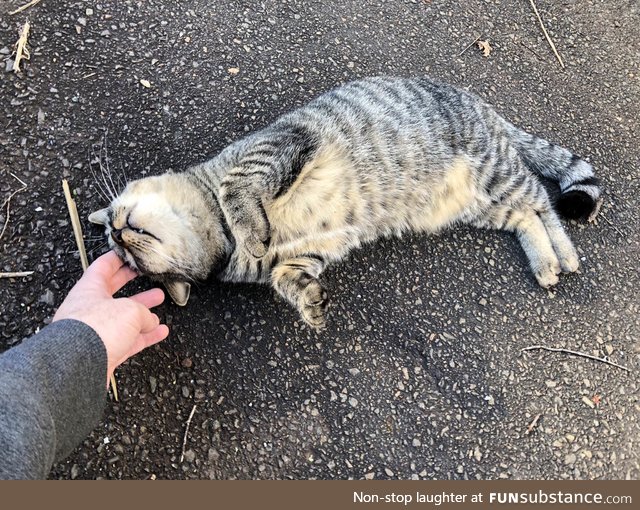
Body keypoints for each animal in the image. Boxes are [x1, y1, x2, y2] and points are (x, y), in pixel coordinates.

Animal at [89, 75, 600, 326]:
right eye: (129, 261)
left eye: (120, 232)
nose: (116, 230)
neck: (222, 243)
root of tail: (480, 103)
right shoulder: (308, 252)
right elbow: (287, 277)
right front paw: (308, 301)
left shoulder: (282, 144)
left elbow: (238, 187)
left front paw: (250, 228)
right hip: (484, 204)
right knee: (526, 216)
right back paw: (545, 261)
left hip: (496, 173)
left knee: (544, 200)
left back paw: (565, 253)